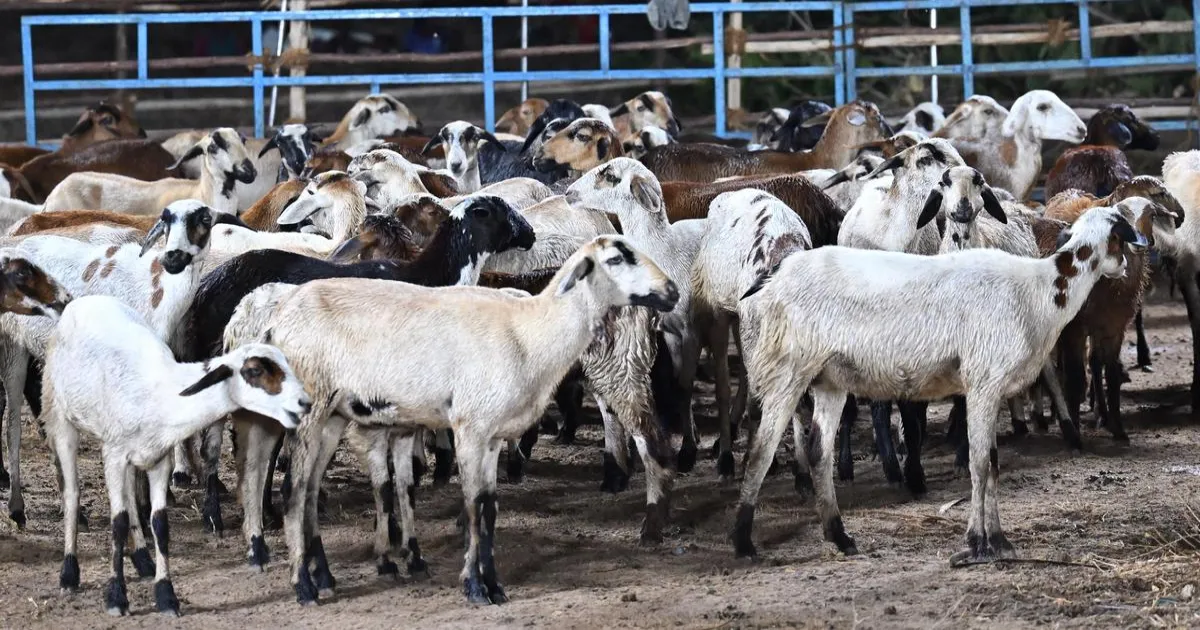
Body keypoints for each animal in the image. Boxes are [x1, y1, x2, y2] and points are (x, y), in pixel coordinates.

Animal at [3, 200, 219, 528]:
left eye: (204, 219)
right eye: (166, 220)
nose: (173, 258)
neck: (157, 292)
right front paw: (141, 508)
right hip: (12, 345)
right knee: (13, 424)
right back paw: (17, 507)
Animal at [44, 294, 310, 617]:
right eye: (255, 371)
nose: (304, 403)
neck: (164, 394)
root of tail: (85, 300)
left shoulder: (159, 458)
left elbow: (160, 523)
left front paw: (166, 595)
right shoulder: (114, 455)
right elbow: (117, 523)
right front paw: (116, 597)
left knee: (131, 498)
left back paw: (143, 561)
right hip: (60, 417)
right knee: (72, 494)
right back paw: (69, 574)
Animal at [256, 235, 677, 605]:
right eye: (616, 259)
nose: (671, 292)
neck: (531, 333)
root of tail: (277, 321)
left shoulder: (491, 434)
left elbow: (489, 508)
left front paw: (494, 586)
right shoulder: (470, 428)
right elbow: (474, 506)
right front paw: (474, 587)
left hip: (333, 417)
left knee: (310, 490)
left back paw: (324, 577)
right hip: (309, 410)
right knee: (293, 491)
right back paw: (303, 587)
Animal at [690, 188, 812, 478]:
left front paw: (801, 471)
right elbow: (754, 400)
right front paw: (748, 460)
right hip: (721, 313)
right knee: (724, 385)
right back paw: (725, 457)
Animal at [733, 205, 1147, 564]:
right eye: (1121, 239)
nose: (1127, 266)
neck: (1039, 289)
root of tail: (774, 275)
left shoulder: (988, 389)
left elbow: (991, 463)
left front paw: (996, 541)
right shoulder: (984, 382)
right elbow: (981, 464)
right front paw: (980, 543)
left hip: (830, 379)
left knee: (819, 450)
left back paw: (840, 536)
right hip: (788, 368)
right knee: (761, 449)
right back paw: (743, 543)